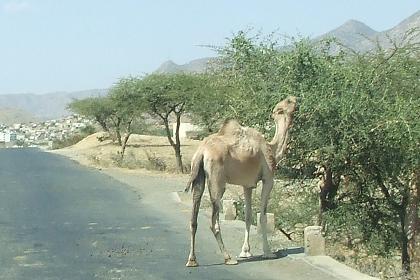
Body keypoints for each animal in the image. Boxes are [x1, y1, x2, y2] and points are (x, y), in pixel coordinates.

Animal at [185, 95, 296, 266]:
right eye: (288, 102)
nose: (295, 98)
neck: (272, 149)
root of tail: (201, 152)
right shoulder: (268, 179)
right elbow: (262, 216)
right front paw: (268, 252)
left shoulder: (247, 185)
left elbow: (249, 215)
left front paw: (245, 252)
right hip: (217, 180)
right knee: (213, 221)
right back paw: (228, 258)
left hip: (198, 176)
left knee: (193, 218)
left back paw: (192, 260)